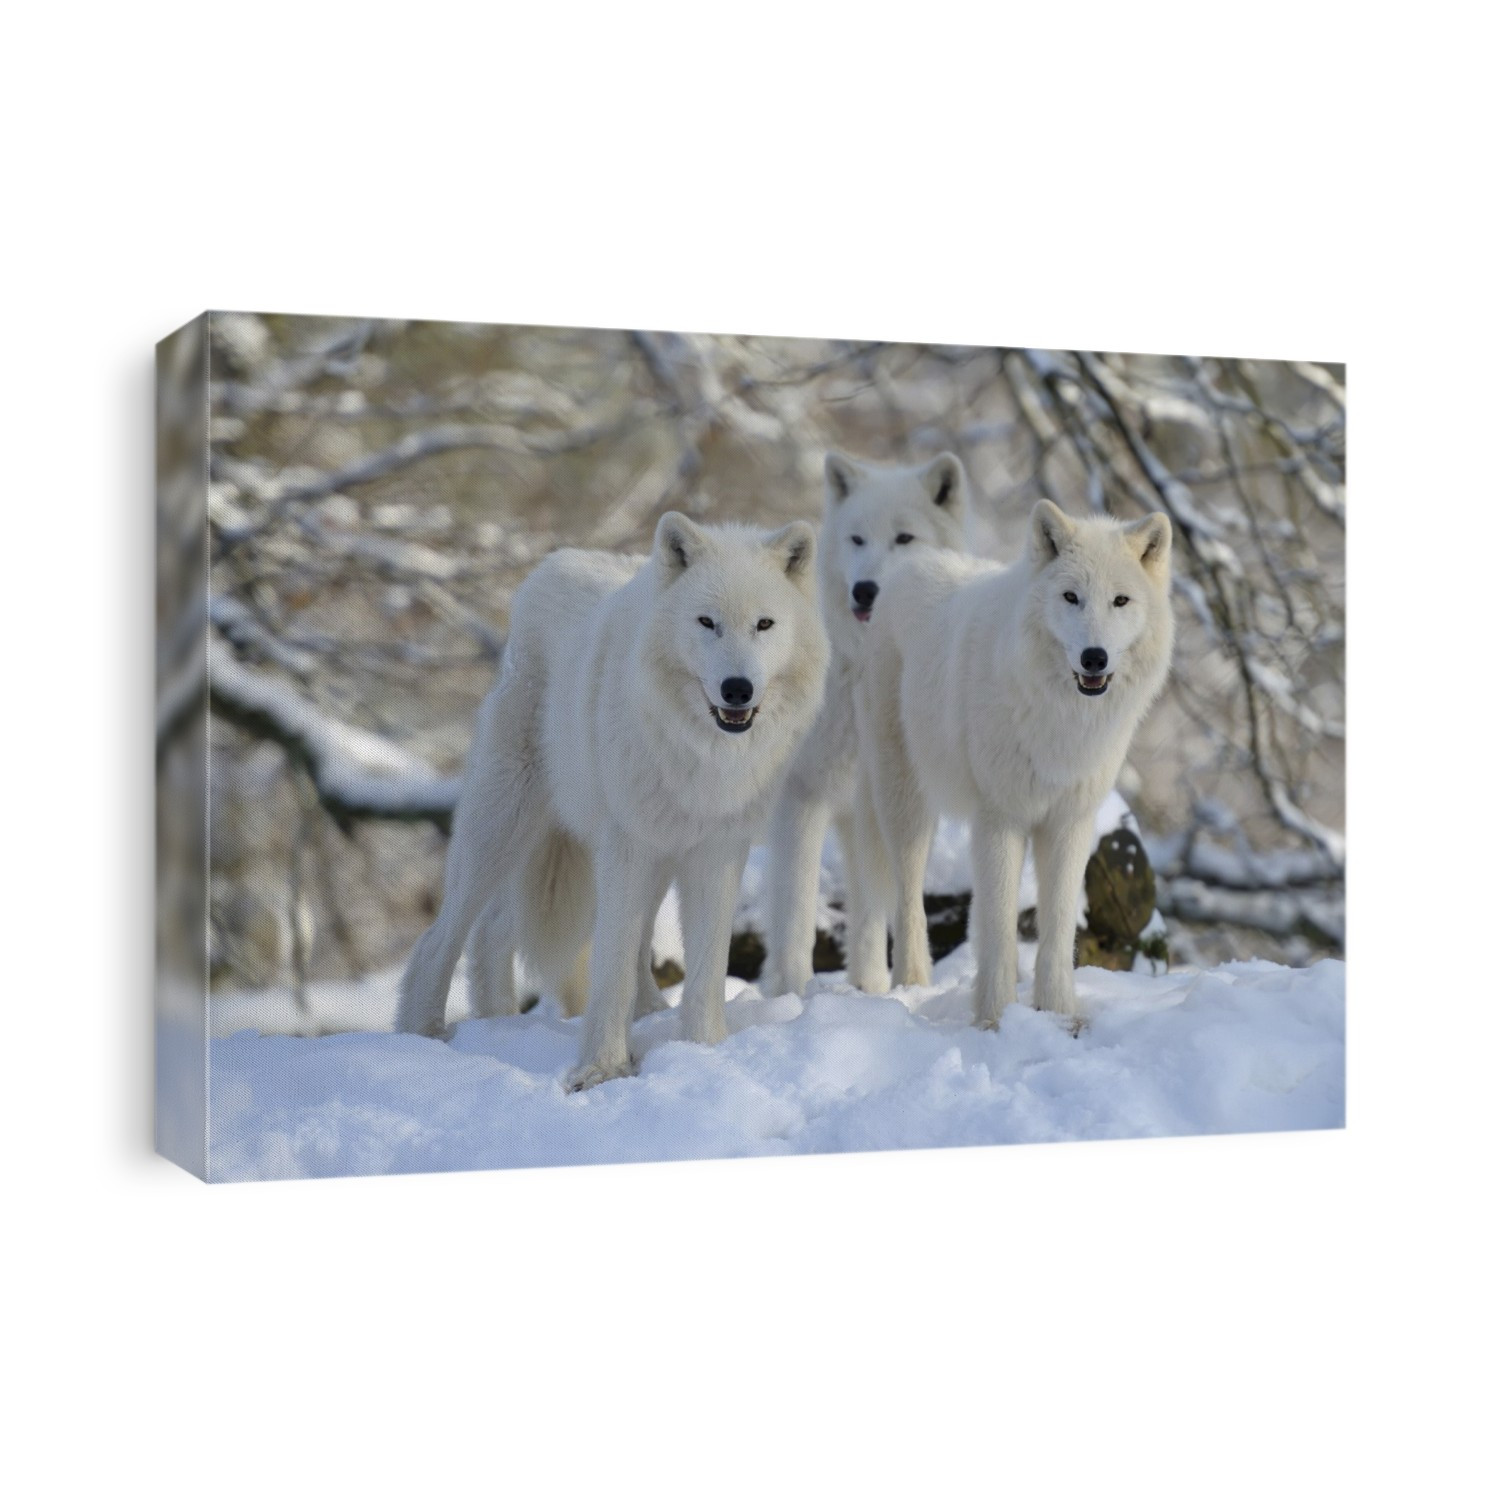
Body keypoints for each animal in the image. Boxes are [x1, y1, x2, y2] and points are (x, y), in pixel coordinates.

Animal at [395, 512, 829, 1089]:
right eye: (706, 622)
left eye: (765, 625)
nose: (736, 688)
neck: (702, 755)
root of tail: (553, 563)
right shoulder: (626, 848)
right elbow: (613, 967)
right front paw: (601, 1069)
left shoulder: (716, 852)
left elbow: (706, 969)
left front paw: (704, 1051)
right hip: (505, 825)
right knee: (442, 937)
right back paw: (424, 1033)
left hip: (638, 854)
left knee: (497, 933)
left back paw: (516, 1025)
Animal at [760, 451, 970, 998]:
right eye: (856, 539)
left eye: (904, 539)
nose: (866, 590)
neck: (854, 669)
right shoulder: (802, 796)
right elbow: (796, 912)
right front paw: (792, 996)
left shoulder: (867, 806)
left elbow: (873, 910)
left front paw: (872, 990)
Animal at [854, 499, 1174, 1024]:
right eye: (1071, 597)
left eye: (1120, 601)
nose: (1094, 657)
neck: (1061, 718)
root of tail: (909, 567)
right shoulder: (1000, 819)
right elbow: (1001, 928)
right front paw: (995, 1019)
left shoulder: (1068, 823)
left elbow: (1058, 928)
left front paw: (1059, 1014)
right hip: (905, 805)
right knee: (908, 899)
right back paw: (911, 986)